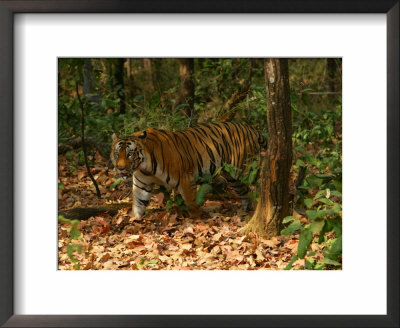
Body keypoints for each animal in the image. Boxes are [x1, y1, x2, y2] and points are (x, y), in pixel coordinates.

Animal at [110, 121, 266, 219]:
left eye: (130, 154)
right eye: (117, 153)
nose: (120, 168)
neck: (145, 167)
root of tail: (251, 128)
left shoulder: (186, 179)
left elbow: (192, 204)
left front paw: (196, 221)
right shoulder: (142, 184)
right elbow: (138, 204)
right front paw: (134, 221)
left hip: (245, 170)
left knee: (257, 185)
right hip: (233, 176)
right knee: (245, 192)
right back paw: (246, 211)